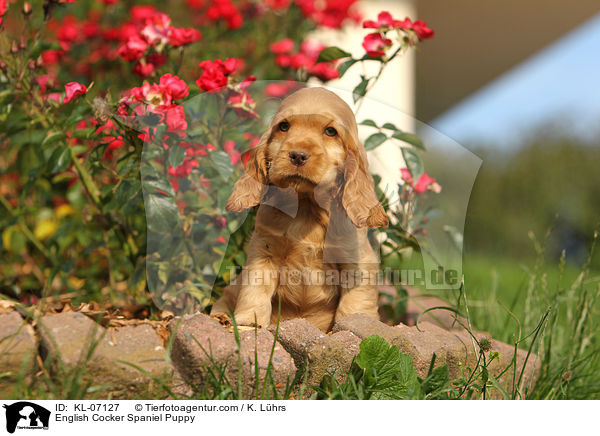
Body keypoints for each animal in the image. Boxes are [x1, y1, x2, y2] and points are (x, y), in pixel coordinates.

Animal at [212, 87, 390, 330]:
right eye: (284, 126)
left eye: (331, 131)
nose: (297, 155)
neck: (306, 206)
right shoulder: (264, 250)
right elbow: (254, 290)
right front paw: (249, 323)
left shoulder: (357, 260)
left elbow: (355, 302)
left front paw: (355, 325)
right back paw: (221, 318)